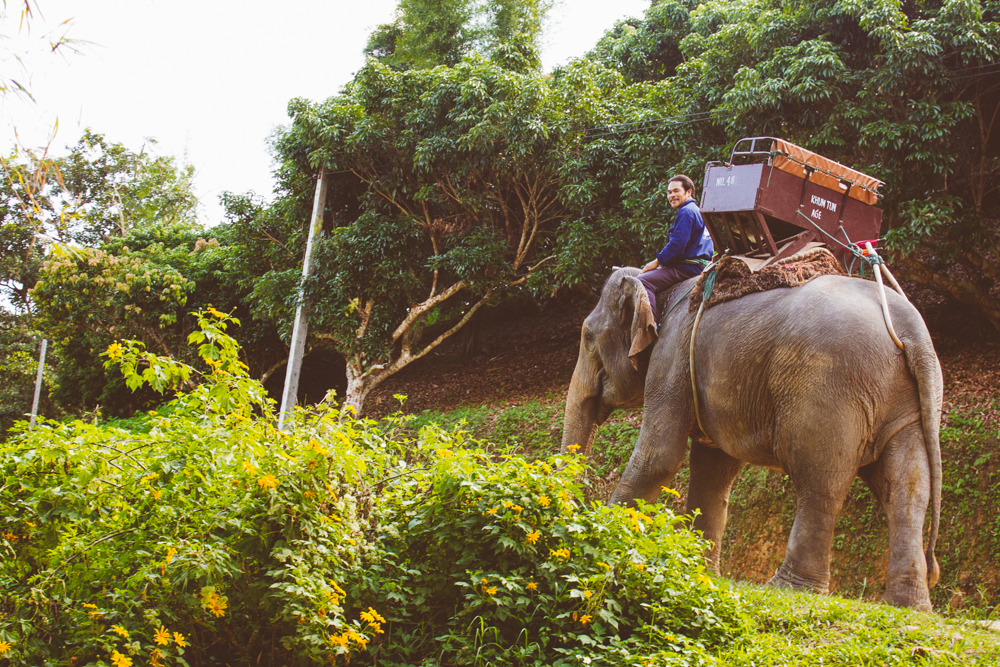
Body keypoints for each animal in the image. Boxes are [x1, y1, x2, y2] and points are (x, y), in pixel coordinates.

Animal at [564, 266, 944, 612]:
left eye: (586, 335)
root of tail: (910, 325)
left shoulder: (672, 357)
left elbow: (659, 457)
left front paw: (603, 534)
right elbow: (713, 471)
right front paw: (702, 572)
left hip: (828, 389)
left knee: (820, 482)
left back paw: (788, 589)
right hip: (903, 403)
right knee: (907, 488)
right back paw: (908, 605)